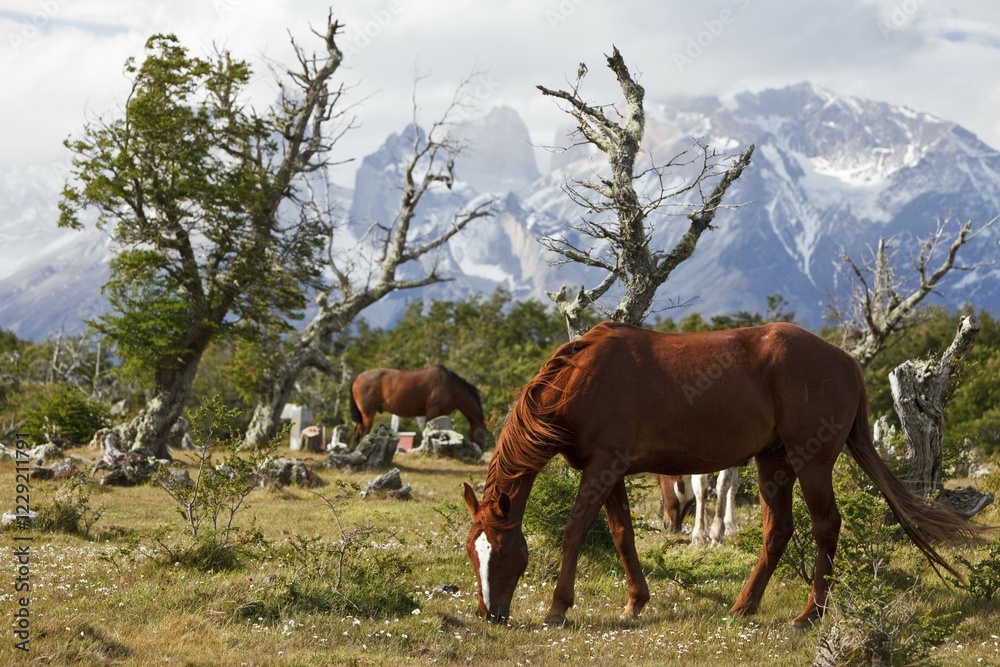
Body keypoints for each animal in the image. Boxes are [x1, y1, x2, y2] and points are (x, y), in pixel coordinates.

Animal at [349, 365, 488, 447]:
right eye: (482, 434)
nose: (480, 452)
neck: (451, 386)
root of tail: (358, 377)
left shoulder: (443, 414)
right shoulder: (432, 411)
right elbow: (427, 431)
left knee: (356, 433)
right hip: (368, 414)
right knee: (363, 433)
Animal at [462, 321, 980, 627]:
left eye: (502, 552)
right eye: (473, 551)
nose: (489, 614)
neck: (584, 378)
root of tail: (844, 359)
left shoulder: (602, 468)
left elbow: (575, 531)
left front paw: (557, 607)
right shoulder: (610, 471)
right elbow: (623, 534)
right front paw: (635, 601)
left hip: (811, 463)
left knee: (825, 527)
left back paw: (809, 615)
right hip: (773, 461)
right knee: (778, 529)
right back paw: (744, 605)